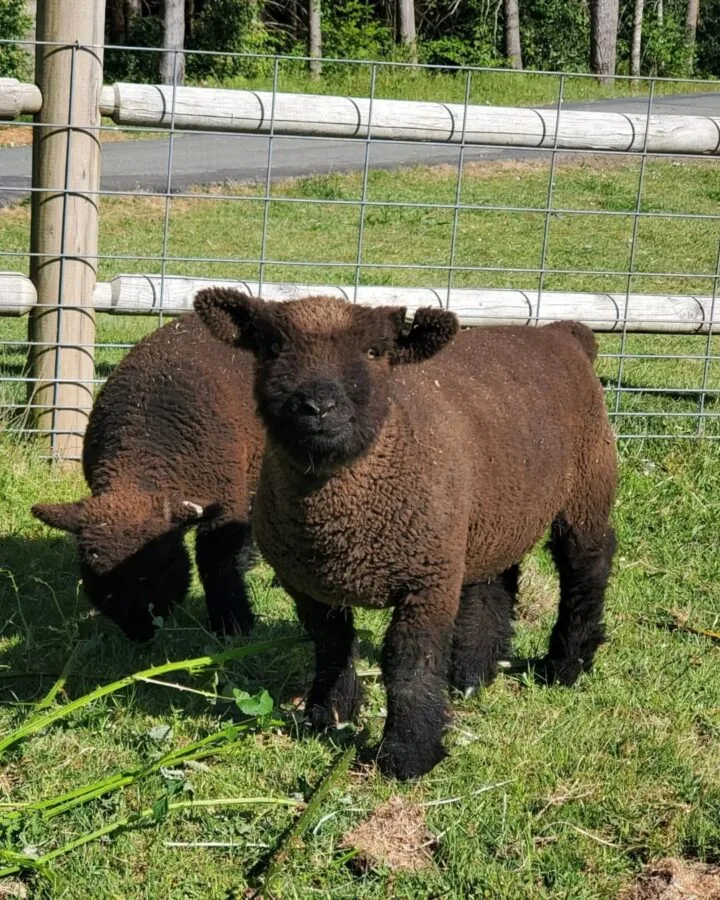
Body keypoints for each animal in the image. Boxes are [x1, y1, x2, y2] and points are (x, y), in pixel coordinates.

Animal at [31, 312, 264, 642]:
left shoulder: (227, 500)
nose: (140, 630)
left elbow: (218, 561)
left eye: (163, 563)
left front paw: (232, 625)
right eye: (91, 567)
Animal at [193, 289, 617, 780]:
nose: (318, 407)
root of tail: (564, 333)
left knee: (586, 566)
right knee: (494, 578)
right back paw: (472, 674)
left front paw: (407, 753)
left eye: (375, 351)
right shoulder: (308, 583)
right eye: (271, 347)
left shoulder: (426, 580)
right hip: (489, 512)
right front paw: (329, 715)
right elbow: (331, 645)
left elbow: (410, 663)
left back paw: (565, 665)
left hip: (587, 483)